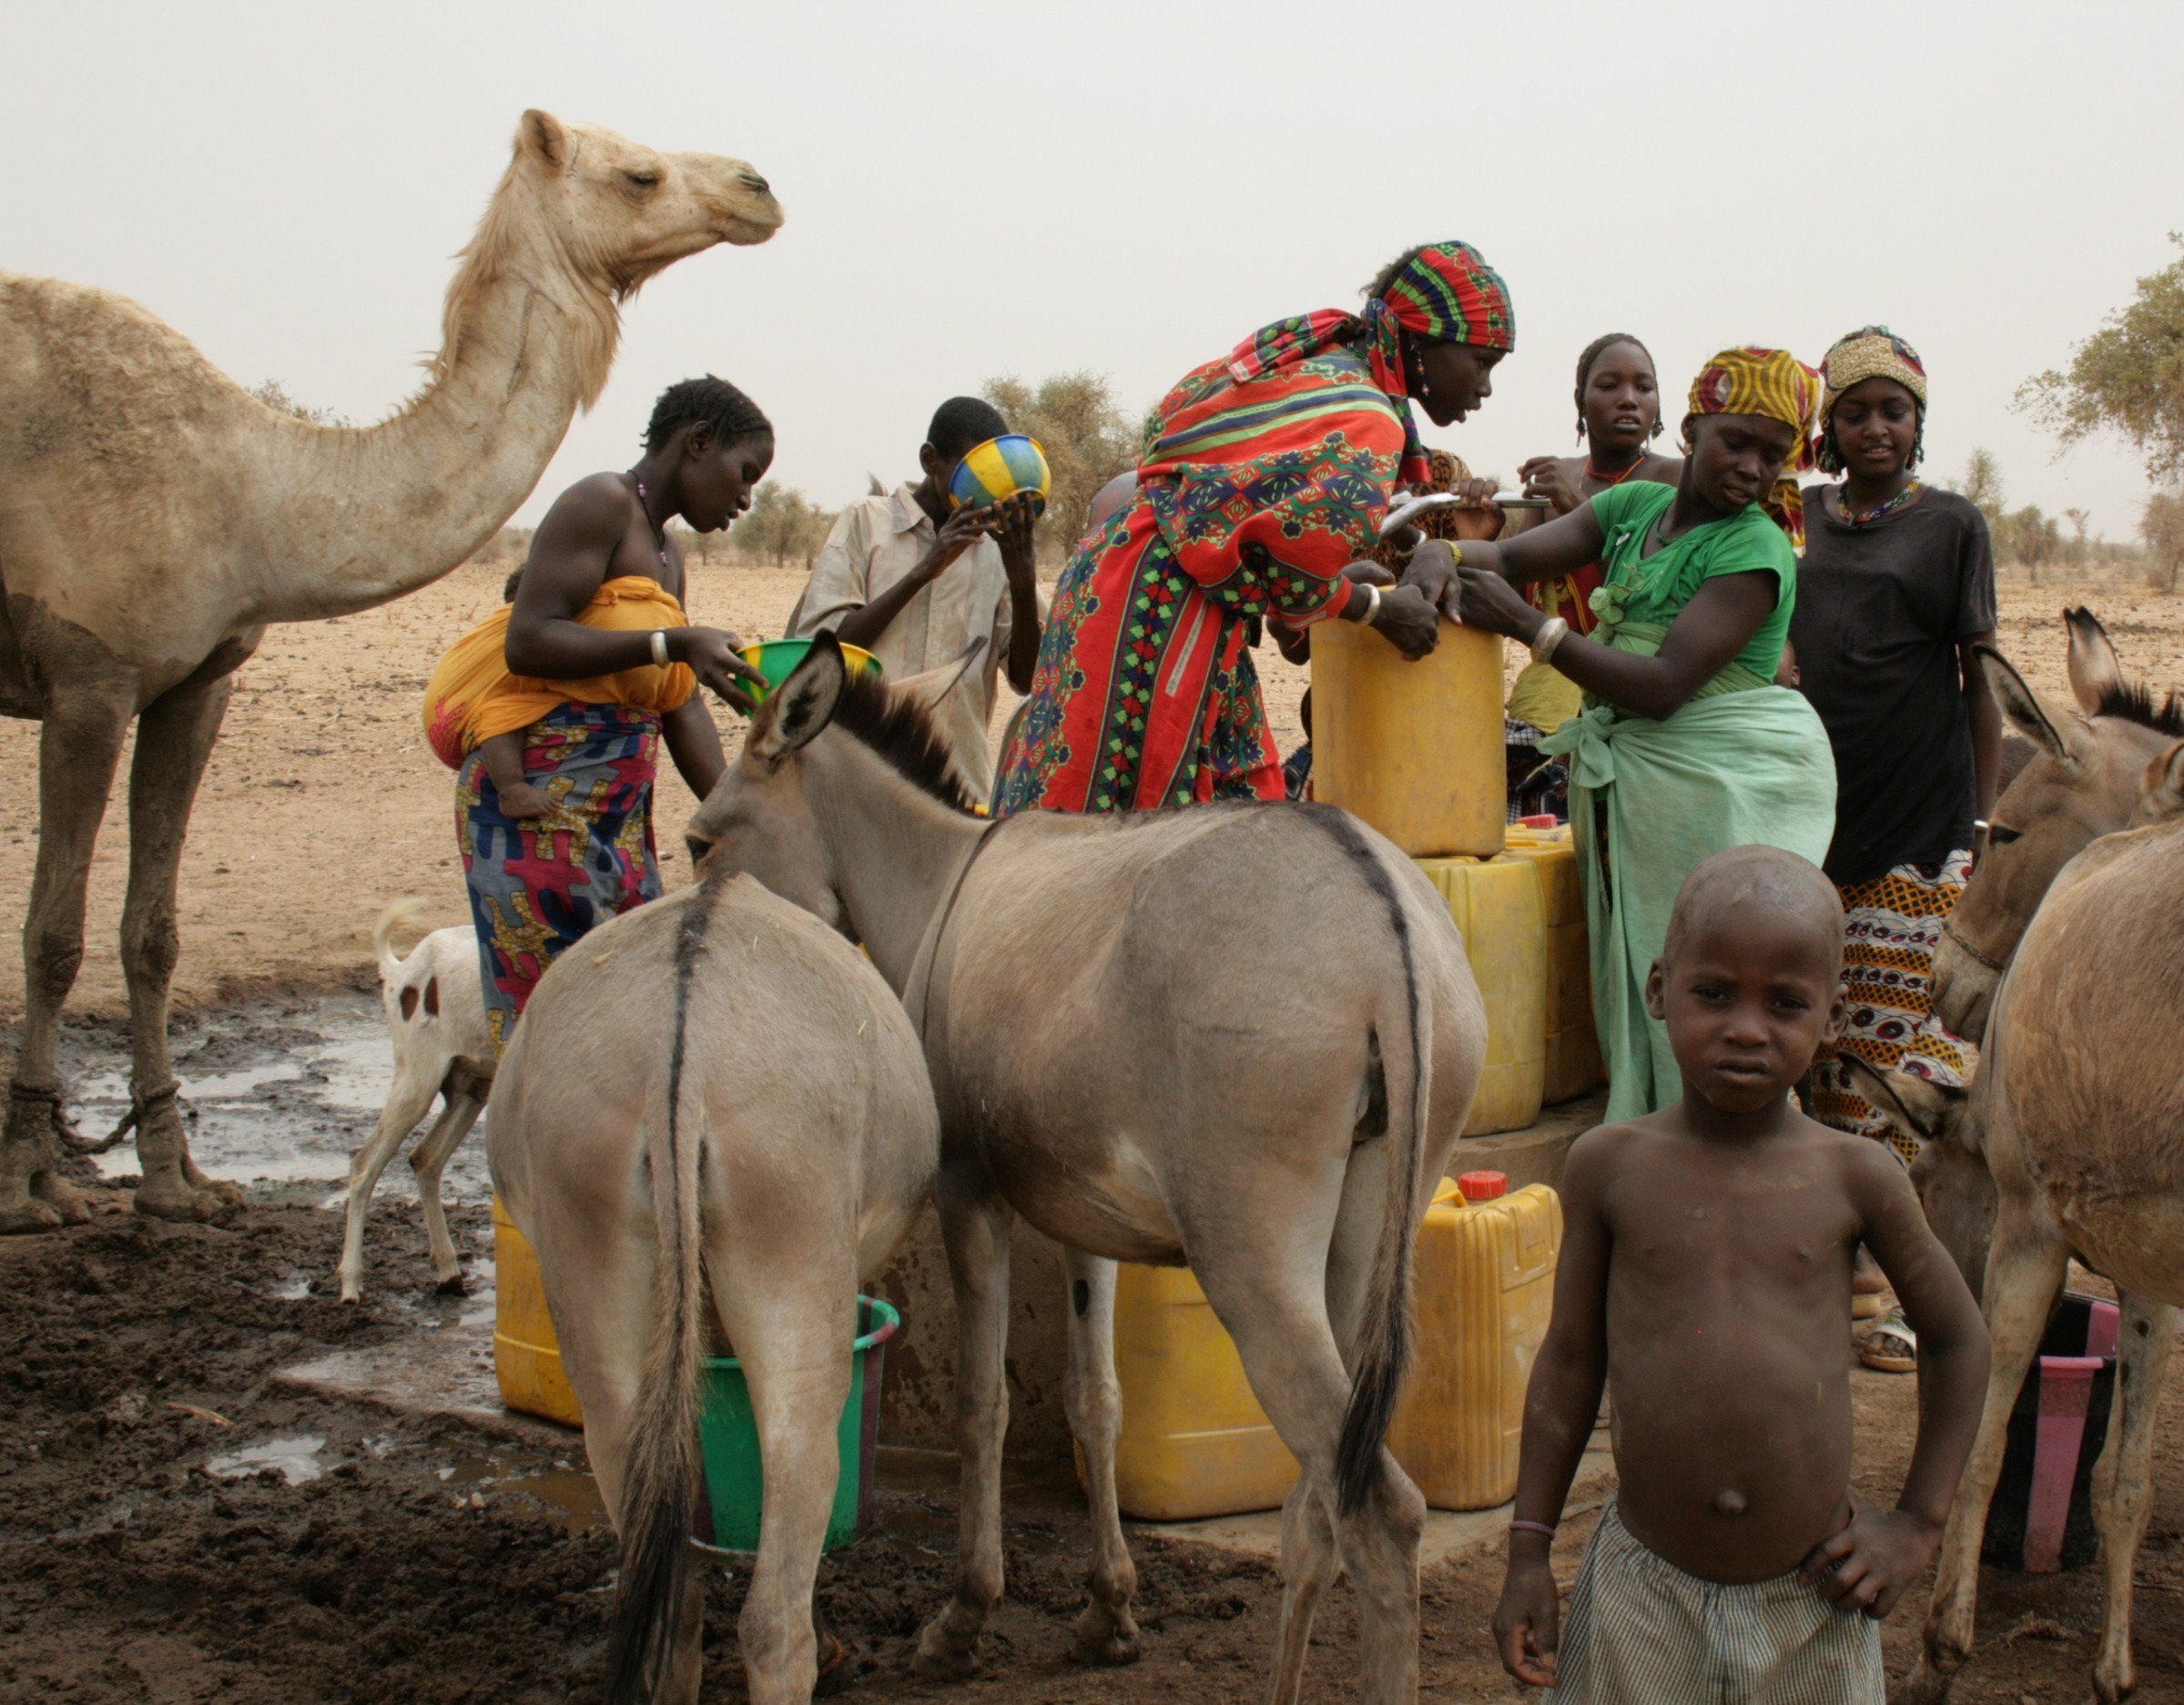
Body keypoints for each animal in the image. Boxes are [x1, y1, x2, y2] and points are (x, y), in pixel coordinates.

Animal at [0, 106, 781, 1231]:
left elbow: (152, 932)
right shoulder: (88, 675)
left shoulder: (198, 678)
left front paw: (177, 1182)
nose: (759, 187)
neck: (248, 488)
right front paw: (30, 1183)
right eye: (638, 173)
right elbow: (52, 933)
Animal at [336, 899, 495, 1301]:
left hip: (471, 1088)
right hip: (416, 1083)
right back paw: (350, 1286)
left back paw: (449, 1272)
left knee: (424, 1159)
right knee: (364, 1165)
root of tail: (399, 971)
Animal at [491, 873, 943, 1694]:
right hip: (794, 1282)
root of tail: (682, 1046)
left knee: (669, 1603)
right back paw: (811, 1652)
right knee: (775, 1602)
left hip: (595, 1283)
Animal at [690, 633, 1493, 1702]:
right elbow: (1096, 1401)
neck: (938, 880)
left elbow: (981, 1405)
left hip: (1249, 1254)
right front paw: (1110, 1611)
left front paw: (962, 1620)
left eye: (698, 842)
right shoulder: (1087, 1216)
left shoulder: (968, 1190)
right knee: (1323, 1495)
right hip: (1366, 1233)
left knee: (1379, 1511)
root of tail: (1383, 914)